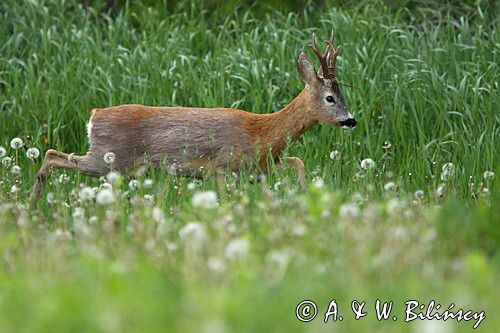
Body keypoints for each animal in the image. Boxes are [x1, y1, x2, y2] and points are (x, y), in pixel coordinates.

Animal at [32, 33, 356, 200]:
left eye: (342, 94)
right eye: (330, 98)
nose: (350, 120)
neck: (261, 133)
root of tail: (94, 115)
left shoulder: (261, 165)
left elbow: (298, 162)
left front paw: (304, 195)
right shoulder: (223, 165)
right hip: (109, 158)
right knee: (52, 154)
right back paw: (35, 200)